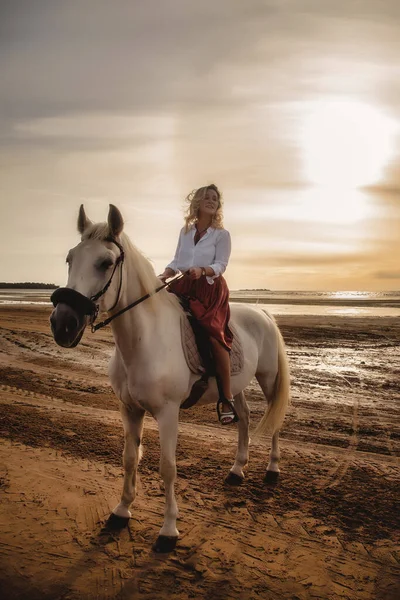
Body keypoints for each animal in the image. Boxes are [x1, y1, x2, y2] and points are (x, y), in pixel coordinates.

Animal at [50, 204, 290, 552]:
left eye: (106, 263)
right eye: (70, 258)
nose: (62, 324)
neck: (144, 339)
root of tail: (262, 312)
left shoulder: (167, 413)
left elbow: (168, 468)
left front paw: (168, 530)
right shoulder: (129, 409)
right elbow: (129, 459)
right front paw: (122, 511)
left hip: (268, 379)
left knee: (274, 419)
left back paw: (272, 468)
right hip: (236, 385)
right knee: (244, 417)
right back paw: (237, 469)